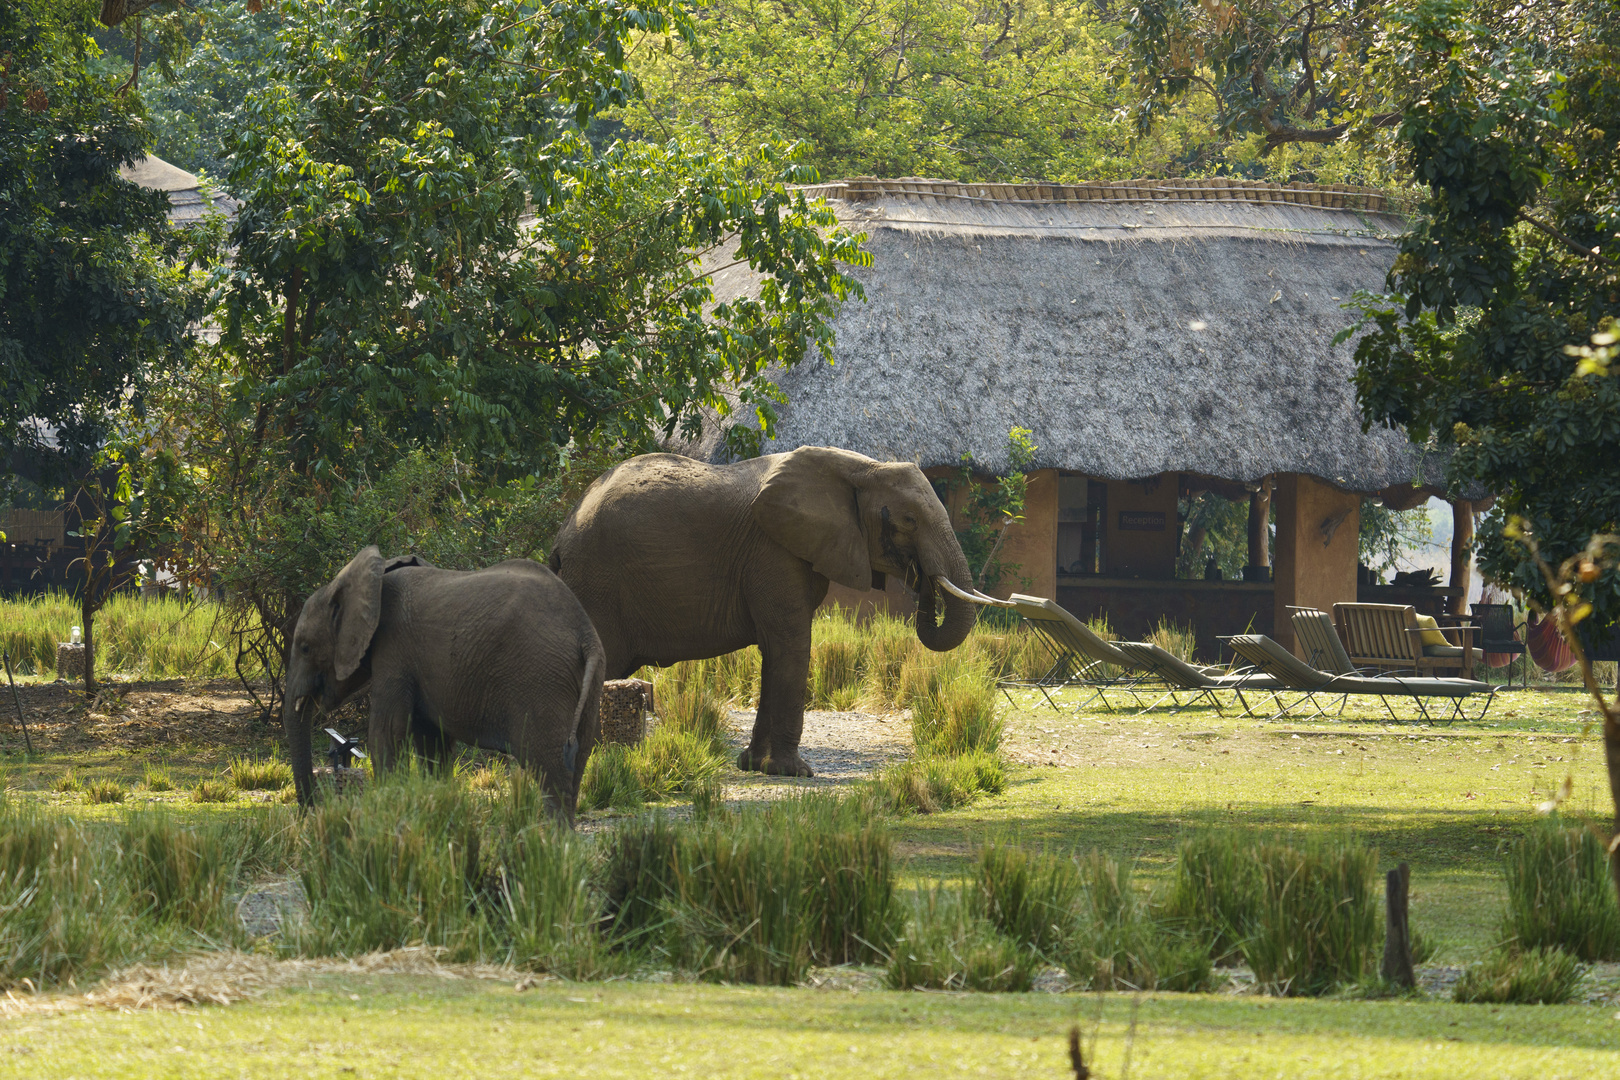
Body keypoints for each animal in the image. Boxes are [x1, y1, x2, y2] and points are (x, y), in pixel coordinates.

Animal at [281, 550, 605, 819]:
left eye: (305, 647)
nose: (310, 810)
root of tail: (585, 632)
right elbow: (431, 741)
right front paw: (435, 805)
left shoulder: (394, 650)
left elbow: (386, 732)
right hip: (587, 684)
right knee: (577, 759)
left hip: (540, 679)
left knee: (550, 766)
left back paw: (552, 840)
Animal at [547, 446, 997, 777]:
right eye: (907, 521)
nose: (921, 577)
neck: (860, 467)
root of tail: (563, 532)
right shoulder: (774, 552)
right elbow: (790, 646)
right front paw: (794, 772)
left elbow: (773, 653)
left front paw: (754, 766)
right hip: (599, 582)